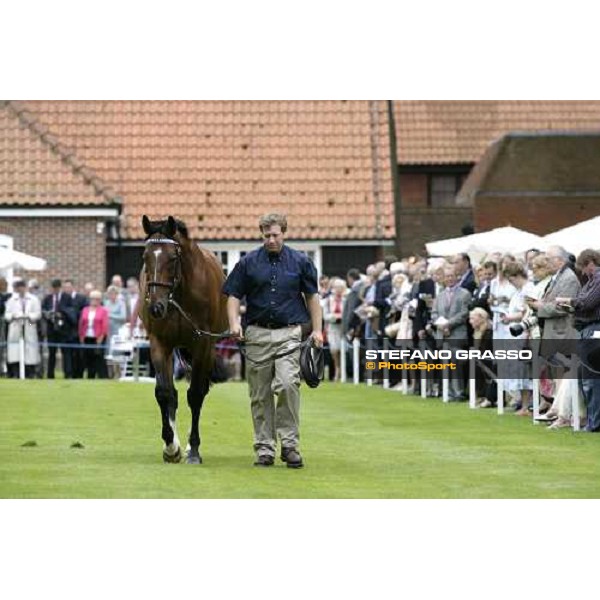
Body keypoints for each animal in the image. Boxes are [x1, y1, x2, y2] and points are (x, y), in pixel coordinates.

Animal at [139, 216, 229, 464]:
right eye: (145, 257)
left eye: (172, 257)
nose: (156, 307)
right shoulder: (159, 343)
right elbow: (164, 393)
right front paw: (171, 446)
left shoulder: (203, 344)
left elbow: (196, 394)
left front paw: (194, 449)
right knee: (172, 394)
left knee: (199, 390)